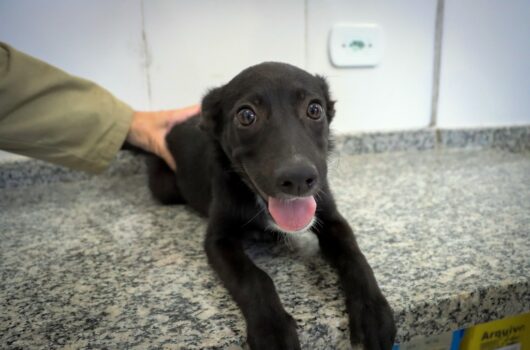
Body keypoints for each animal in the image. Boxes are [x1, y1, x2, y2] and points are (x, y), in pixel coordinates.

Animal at [146, 63, 394, 350]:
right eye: (246, 115)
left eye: (315, 109)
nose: (298, 179)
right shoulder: (218, 240)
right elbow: (253, 277)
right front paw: (272, 329)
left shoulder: (331, 218)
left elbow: (355, 256)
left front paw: (372, 311)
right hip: (165, 188)